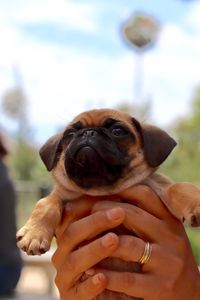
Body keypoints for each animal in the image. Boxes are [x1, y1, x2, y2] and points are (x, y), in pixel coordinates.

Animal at [16, 109, 200, 298]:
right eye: (70, 134)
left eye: (117, 131)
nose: (88, 132)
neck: (102, 188)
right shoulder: (61, 194)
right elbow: (46, 202)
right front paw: (34, 234)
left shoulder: (158, 185)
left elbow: (179, 187)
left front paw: (196, 204)